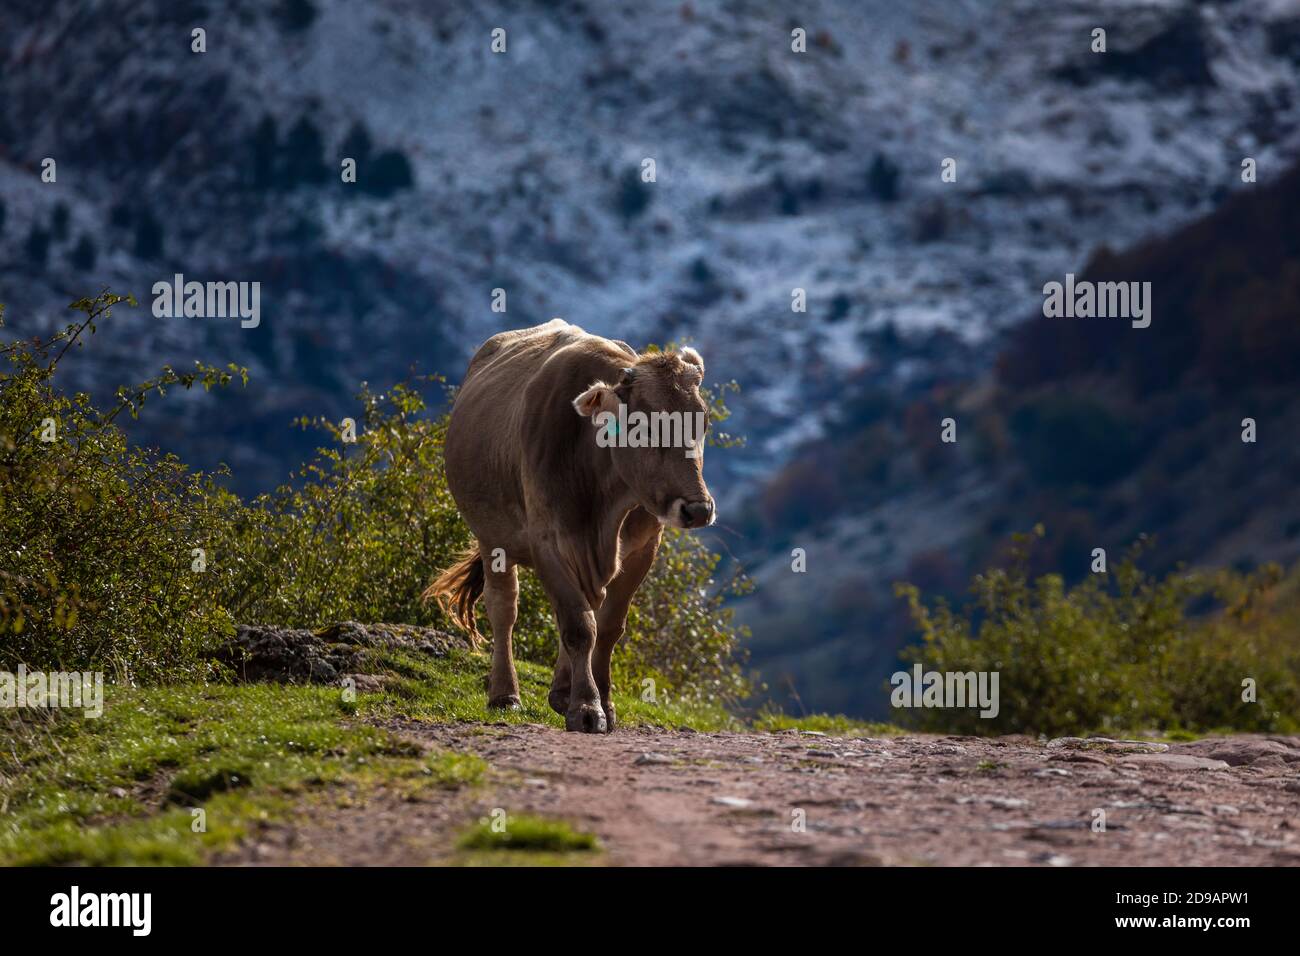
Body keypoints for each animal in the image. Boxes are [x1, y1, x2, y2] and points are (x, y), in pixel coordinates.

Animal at [423, 319, 717, 733]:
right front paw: (586, 708)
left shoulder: (644, 547)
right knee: (504, 608)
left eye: (702, 422)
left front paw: (602, 702)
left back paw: (561, 690)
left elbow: (607, 627)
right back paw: (504, 694)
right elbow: (578, 625)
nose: (698, 509)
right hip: (491, 537)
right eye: (642, 427)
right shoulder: (548, 540)